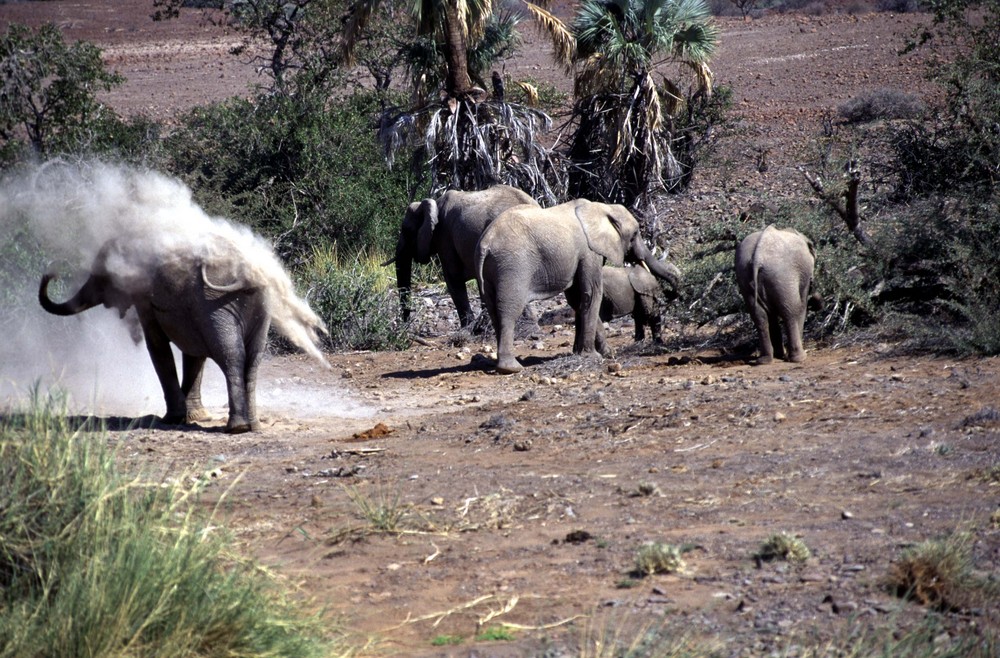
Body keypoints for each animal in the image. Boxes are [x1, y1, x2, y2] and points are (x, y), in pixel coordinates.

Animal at [38, 229, 328, 430]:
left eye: (101, 276)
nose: (51, 273)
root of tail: (247, 273)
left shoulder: (148, 299)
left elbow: (158, 346)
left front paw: (173, 419)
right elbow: (194, 353)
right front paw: (196, 417)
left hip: (215, 302)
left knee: (230, 354)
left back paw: (237, 428)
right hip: (257, 302)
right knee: (252, 359)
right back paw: (252, 426)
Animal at [390, 183, 540, 326]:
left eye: (406, 230)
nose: (406, 323)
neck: (434, 204)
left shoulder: (444, 237)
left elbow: (453, 278)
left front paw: (468, 328)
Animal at [474, 199, 680, 374]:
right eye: (635, 234)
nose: (671, 292)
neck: (603, 207)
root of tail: (485, 243)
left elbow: (578, 299)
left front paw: (585, 353)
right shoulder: (589, 252)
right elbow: (592, 293)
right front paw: (597, 355)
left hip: (489, 271)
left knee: (493, 311)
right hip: (512, 267)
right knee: (509, 310)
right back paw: (511, 368)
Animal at [732, 223, 816, 362]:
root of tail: (758, 257)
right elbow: (802, 304)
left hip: (745, 275)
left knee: (760, 316)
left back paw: (766, 360)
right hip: (782, 275)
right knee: (791, 311)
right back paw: (799, 358)